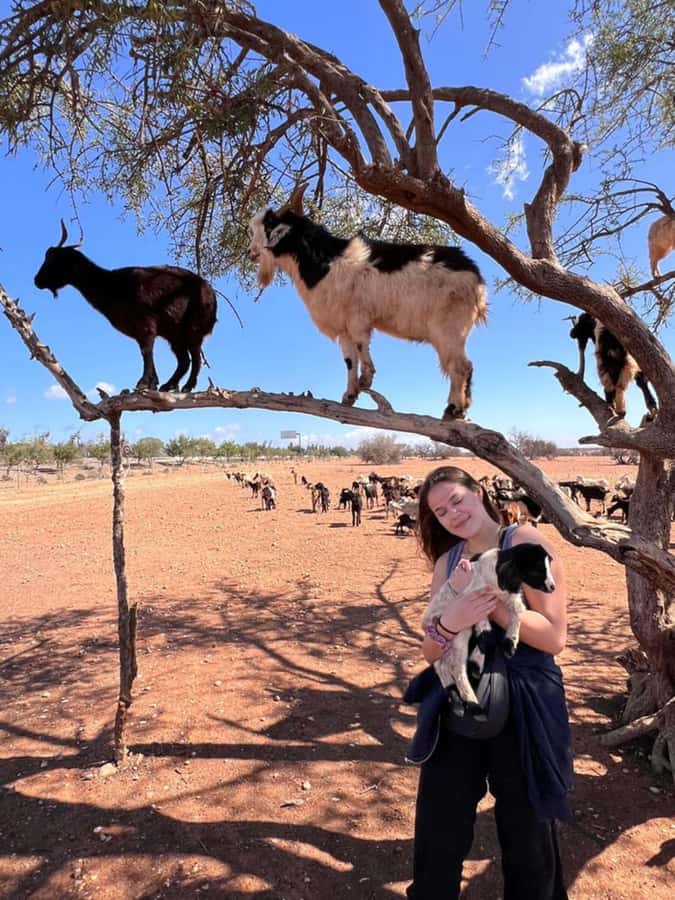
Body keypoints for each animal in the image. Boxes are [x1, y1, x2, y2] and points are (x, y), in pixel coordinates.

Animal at [34, 220, 217, 392]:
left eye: (56, 260)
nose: (37, 281)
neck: (113, 285)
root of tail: (211, 295)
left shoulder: (145, 325)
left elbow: (146, 352)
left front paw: (144, 383)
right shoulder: (141, 330)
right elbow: (146, 352)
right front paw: (153, 383)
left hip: (193, 328)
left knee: (195, 356)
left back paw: (187, 386)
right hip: (174, 334)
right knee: (184, 360)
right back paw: (168, 385)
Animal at [248, 184, 488, 419]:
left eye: (268, 227)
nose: (251, 252)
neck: (326, 264)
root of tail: (477, 280)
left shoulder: (358, 318)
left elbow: (362, 345)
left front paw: (366, 380)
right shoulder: (343, 327)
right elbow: (349, 360)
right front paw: (349, 396)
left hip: (449, 329)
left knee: (461, 367)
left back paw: (454, 409)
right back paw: (459, 409)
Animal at [423, 543, 555, 710]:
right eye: (537, 569)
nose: (552, 587)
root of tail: (426, 622)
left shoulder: (509, 597)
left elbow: (518, 611)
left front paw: (509, 644)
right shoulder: (474, 600)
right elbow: (486, 634)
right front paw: (478, 663)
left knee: (442, 666)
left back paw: (456, 698)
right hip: (460, 633)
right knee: (456, 668)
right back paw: (472, 703)